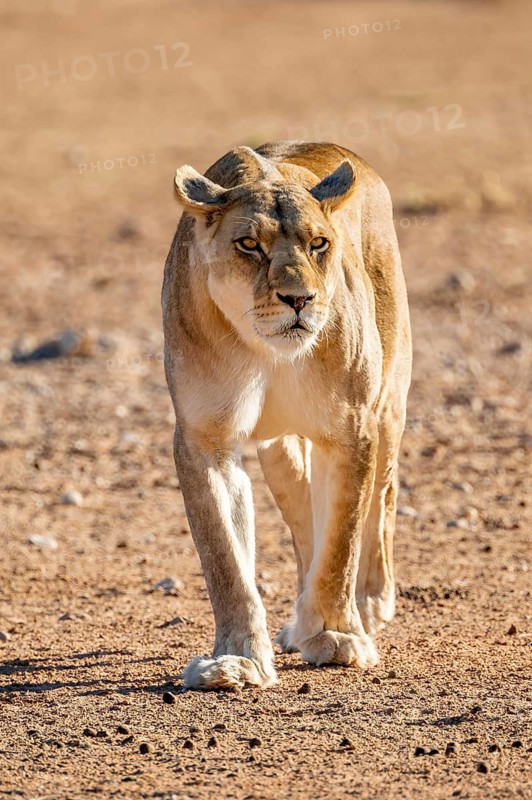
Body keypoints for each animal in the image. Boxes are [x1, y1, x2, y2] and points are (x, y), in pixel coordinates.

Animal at [162, 142, 412, 690]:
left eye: (319, 243)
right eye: (249, 244)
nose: (299, 299)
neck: (267, 350)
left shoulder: (350, 429)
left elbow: (341, 541)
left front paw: (337, 635)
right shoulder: (204, 440)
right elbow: (225, 558)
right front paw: (236, 660)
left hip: (388, 410)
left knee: (381, 504)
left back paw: (370, 603)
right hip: (280, 452)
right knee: (303, 522)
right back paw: (300, 620)